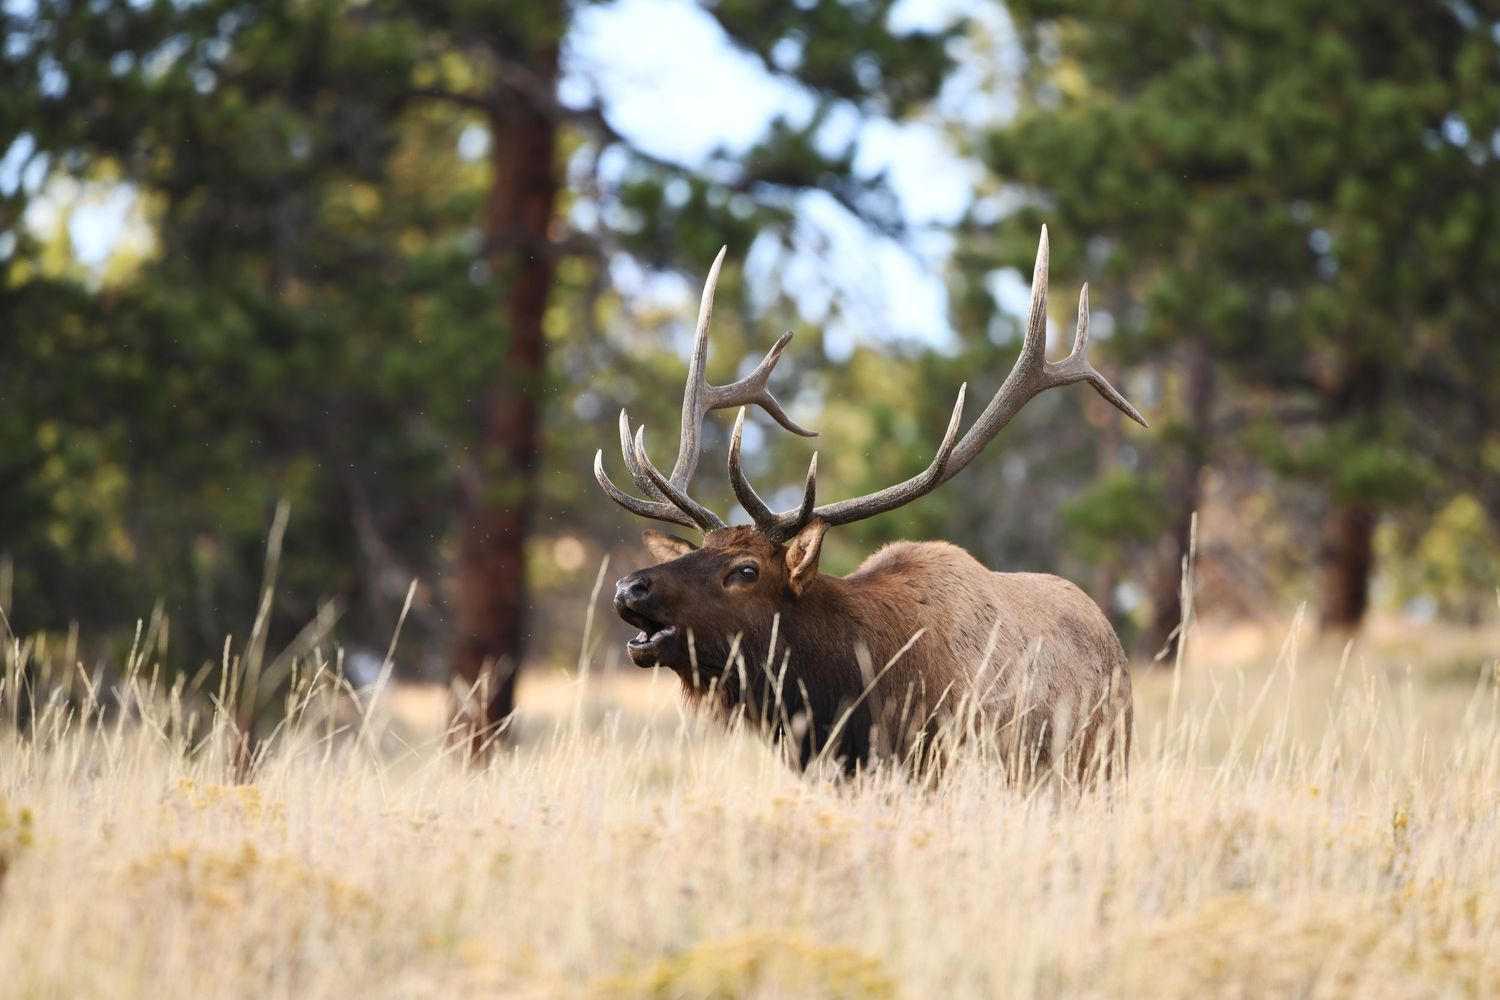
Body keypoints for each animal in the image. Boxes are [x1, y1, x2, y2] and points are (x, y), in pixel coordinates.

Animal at [594, 228, 1147, 782]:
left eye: (747, 570)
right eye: (698, 551)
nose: (630, 586)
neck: (852, 695)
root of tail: (1113, 639)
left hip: (1101, 767)